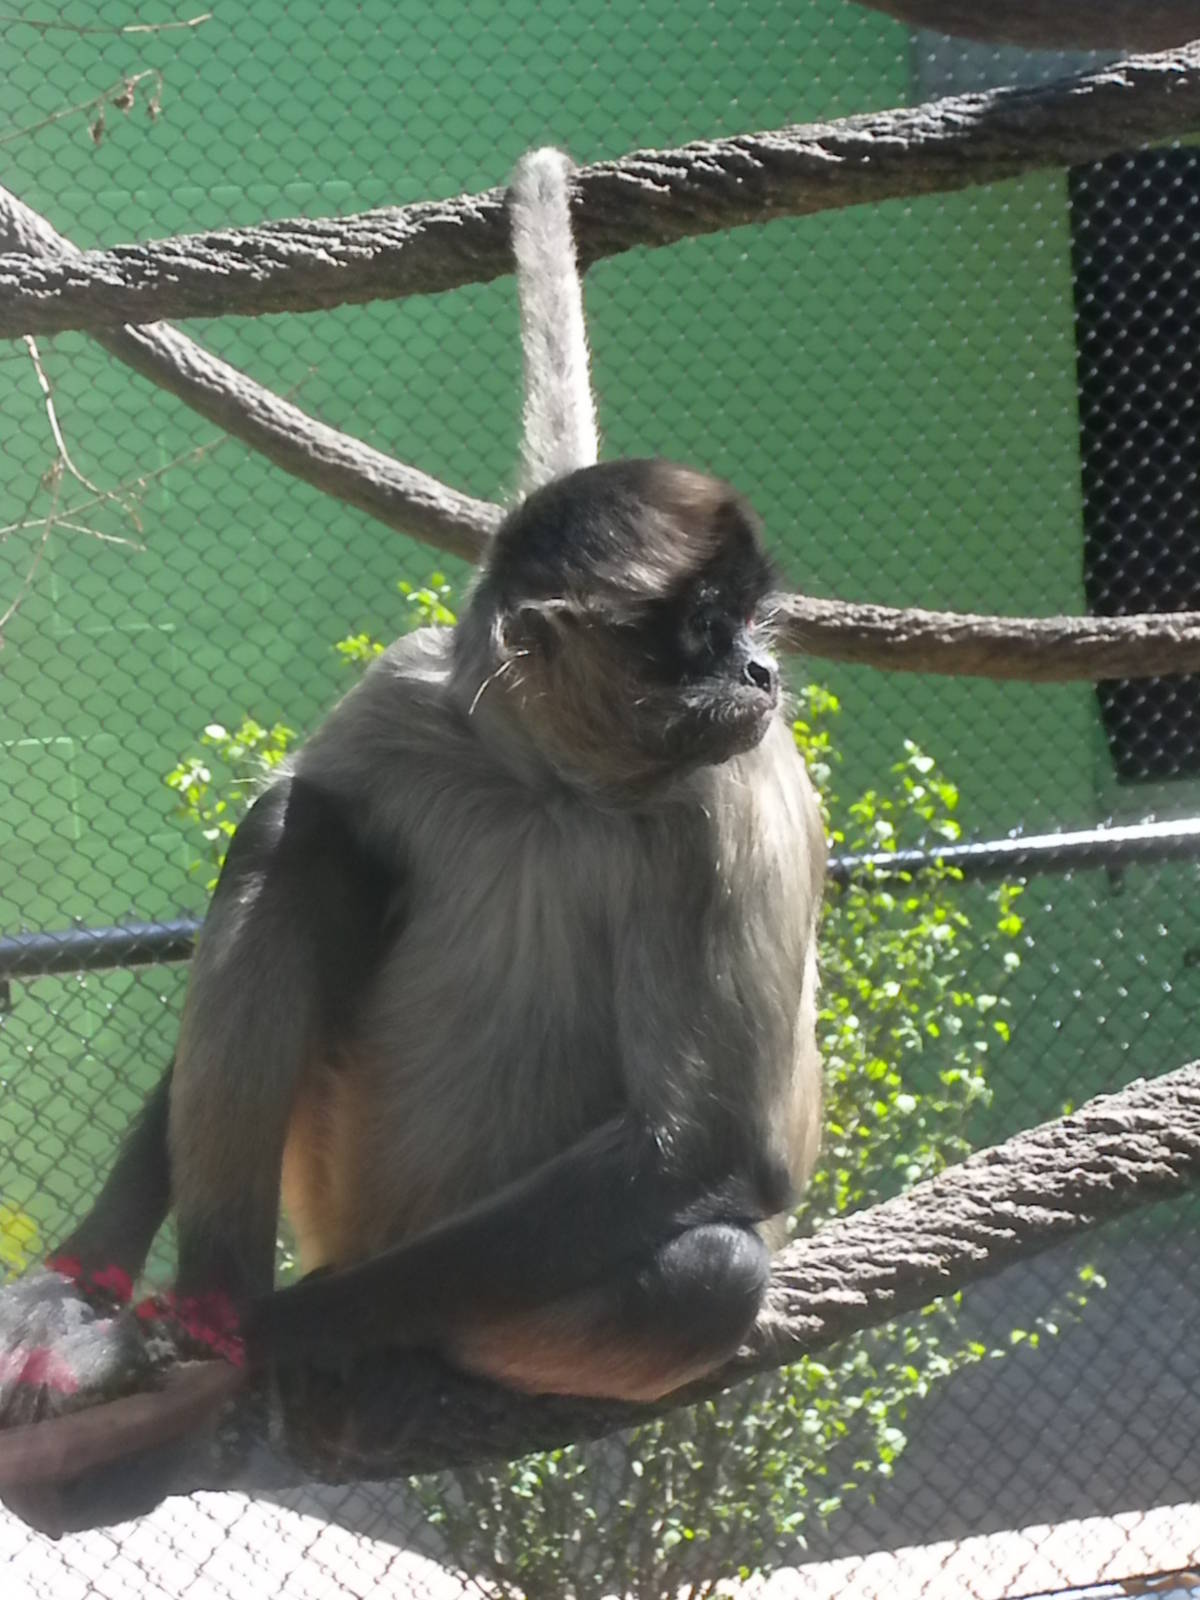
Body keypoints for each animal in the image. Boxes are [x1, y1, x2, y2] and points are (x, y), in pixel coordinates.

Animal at [0, 150, 825, 1528]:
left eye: (745, 627)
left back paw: (252, 1358)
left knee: (709, 1266)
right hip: (332, 1162)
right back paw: (188, 1329)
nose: (762, 671)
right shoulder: (406, 688)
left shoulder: (737, 785)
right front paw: (80, 1284)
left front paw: (223, 1343)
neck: (555, 780)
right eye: (707, 630)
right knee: (297, 829)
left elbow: (715, 1149)